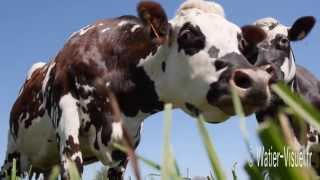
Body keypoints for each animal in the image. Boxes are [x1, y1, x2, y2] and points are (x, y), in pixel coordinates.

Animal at [1, 0, 274, 179]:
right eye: (187, 34)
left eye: (241, 42)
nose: (256, 80)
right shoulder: (67, 126)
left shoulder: (126, 145)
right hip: (12, 154)